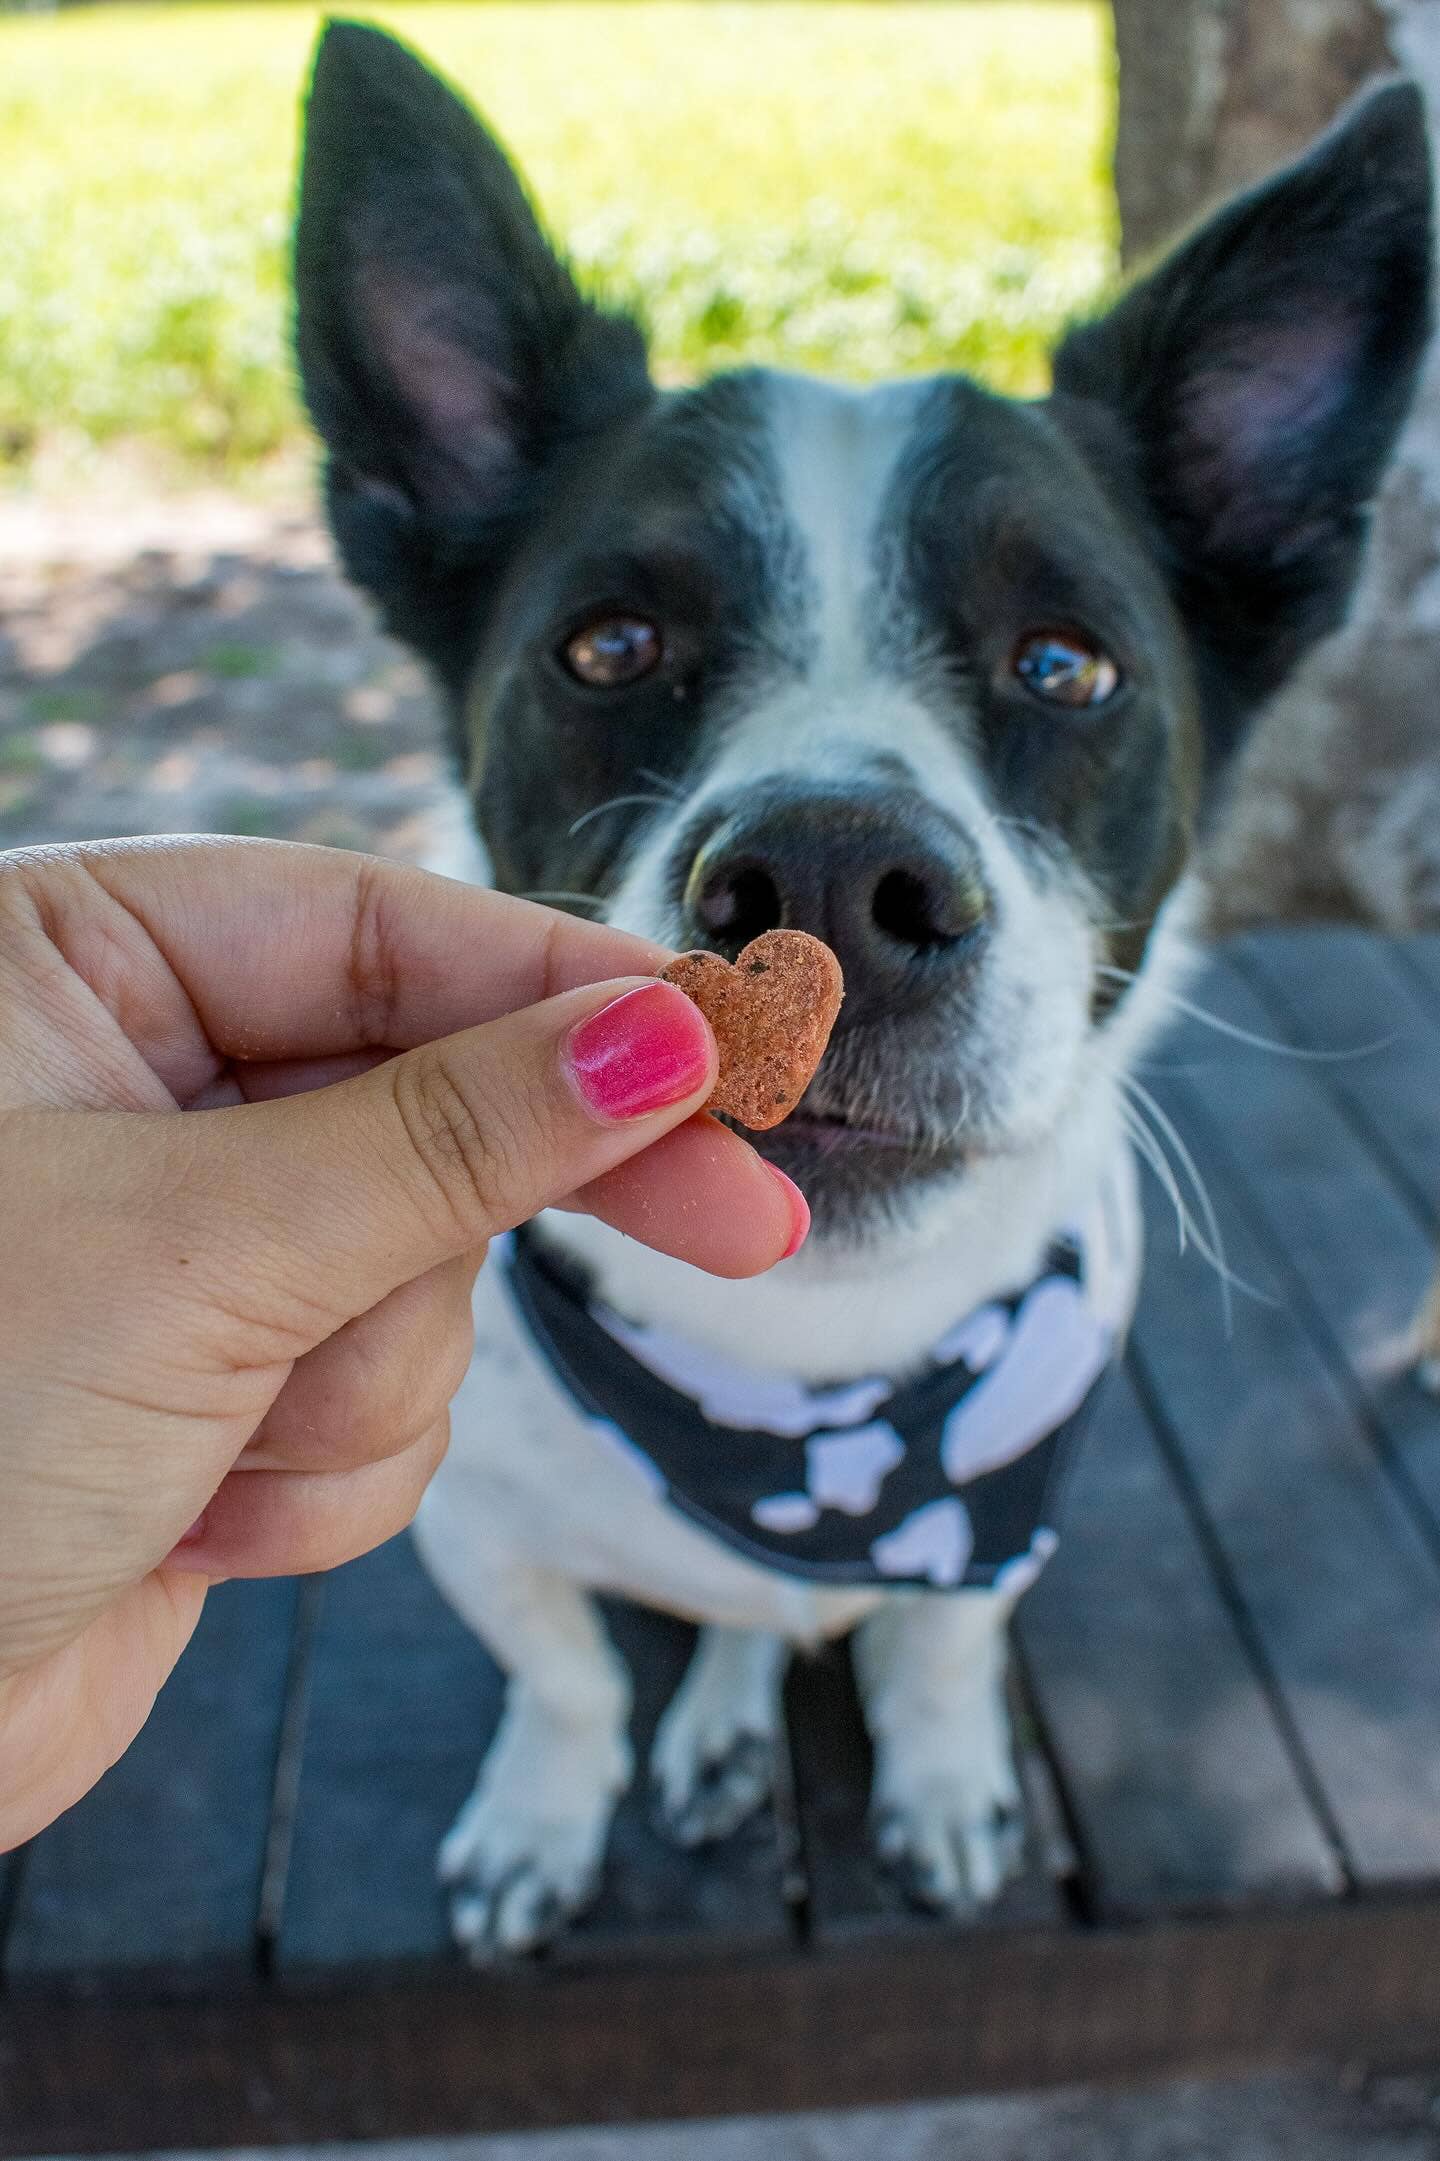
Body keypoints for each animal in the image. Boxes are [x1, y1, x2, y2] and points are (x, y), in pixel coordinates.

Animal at [289, 16, 1427, 1970]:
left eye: (1068, 664)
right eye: (610, 645)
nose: (830, 880)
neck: (800, 1385)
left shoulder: (987, 1537)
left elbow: (940, 1649)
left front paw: (945, 1770)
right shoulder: (479, 1532)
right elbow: (567, 1675)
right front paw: (544, 1808)